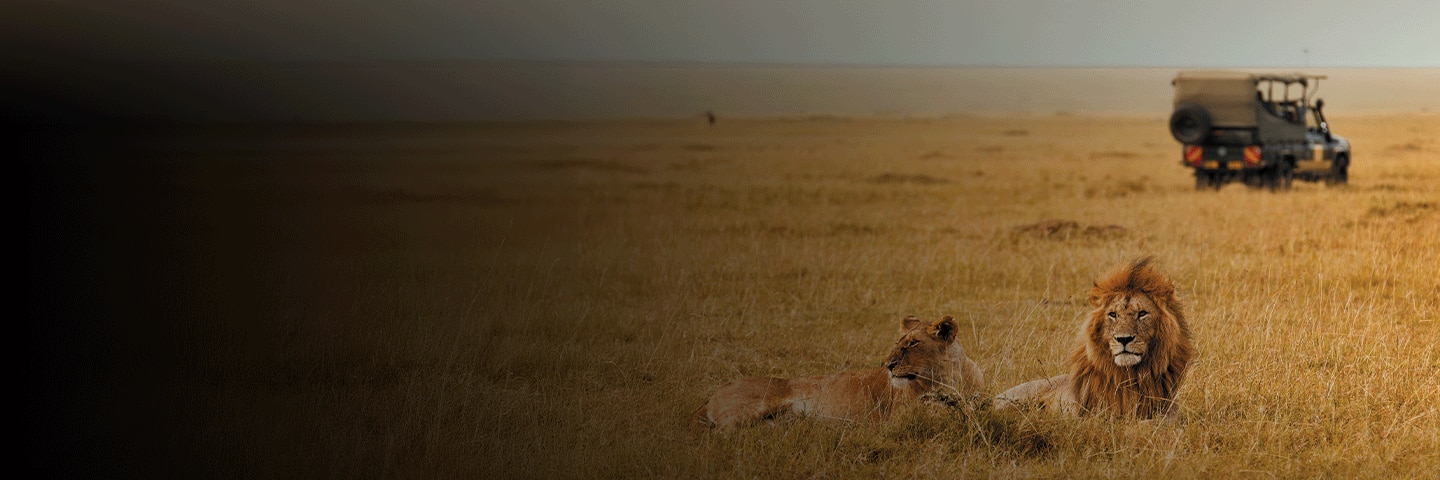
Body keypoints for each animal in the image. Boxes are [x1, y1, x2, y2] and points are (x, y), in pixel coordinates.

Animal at [695, 315, 983, 430]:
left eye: (913, 344)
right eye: (899, 342)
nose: (888, 365)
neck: (950, 377)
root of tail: (711, 397)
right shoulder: (899, 419)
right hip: (749, 409)